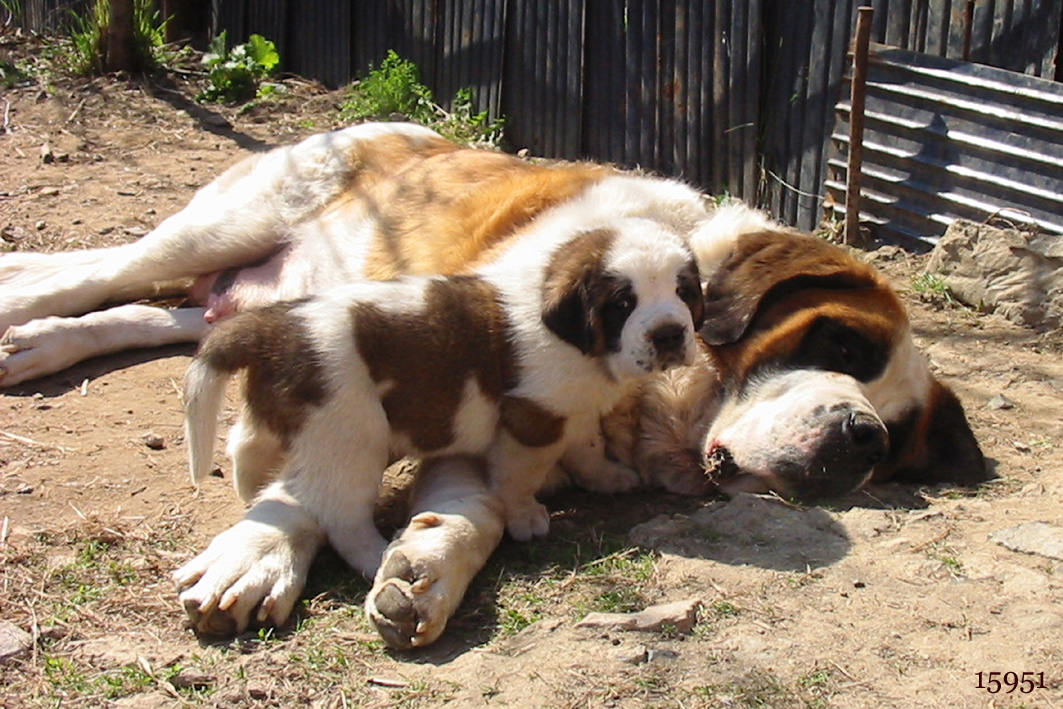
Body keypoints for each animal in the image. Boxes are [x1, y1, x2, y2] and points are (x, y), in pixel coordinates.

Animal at [0, 122, 987, 648]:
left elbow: (472, 506)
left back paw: (39, 347)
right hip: (221, 226)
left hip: (247, 300)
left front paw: (426, 564)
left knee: (155, 318)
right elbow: (323, 474)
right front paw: (264, 548)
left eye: (893, 441)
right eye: (839, 342)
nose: (859, 438)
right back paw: (22, 307)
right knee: (95, 272)